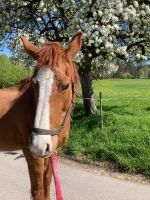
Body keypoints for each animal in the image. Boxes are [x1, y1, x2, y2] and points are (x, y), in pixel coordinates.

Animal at [0, 32, 82, 199]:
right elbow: (38, 191)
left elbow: (47, 188)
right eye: (33, 84)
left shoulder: (50, 152)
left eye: (66, 86)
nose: (39, 145)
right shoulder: (33, 156)